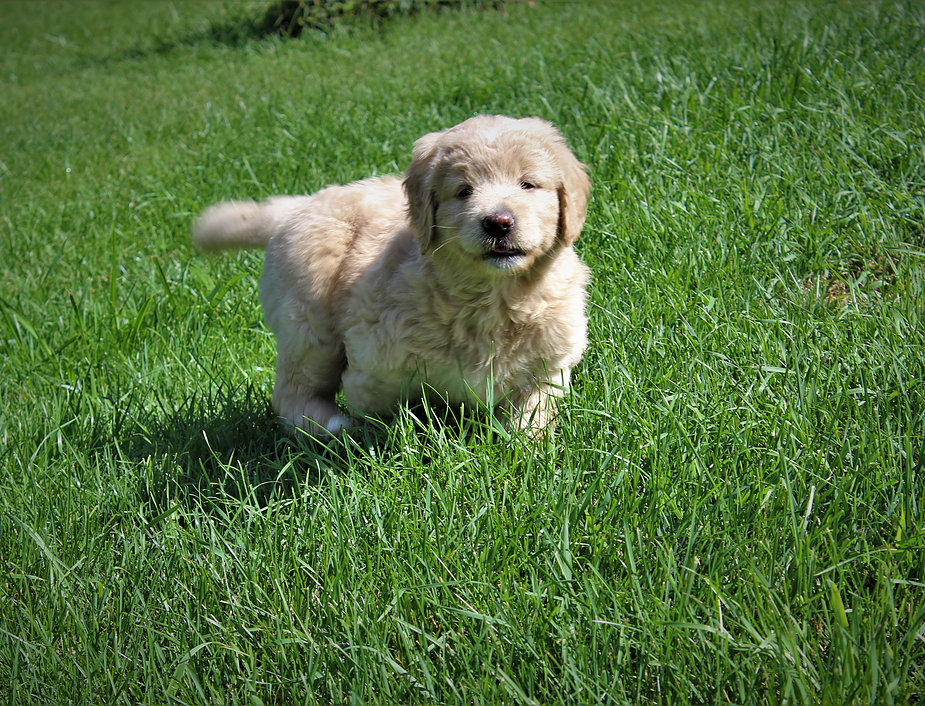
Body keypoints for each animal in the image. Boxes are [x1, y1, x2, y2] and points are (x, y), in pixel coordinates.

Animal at [193, 115, 592, 434]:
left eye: (528, 184)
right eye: (464, 191)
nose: (498, 222)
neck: (492, 297)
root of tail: (298, 206)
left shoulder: (550, 365)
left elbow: (532, 413)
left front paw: (525, 448)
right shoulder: (374, 363)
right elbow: (376, 407)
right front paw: (383, 441)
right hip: (309, 324)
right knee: (293, 390)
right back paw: (328, 426)